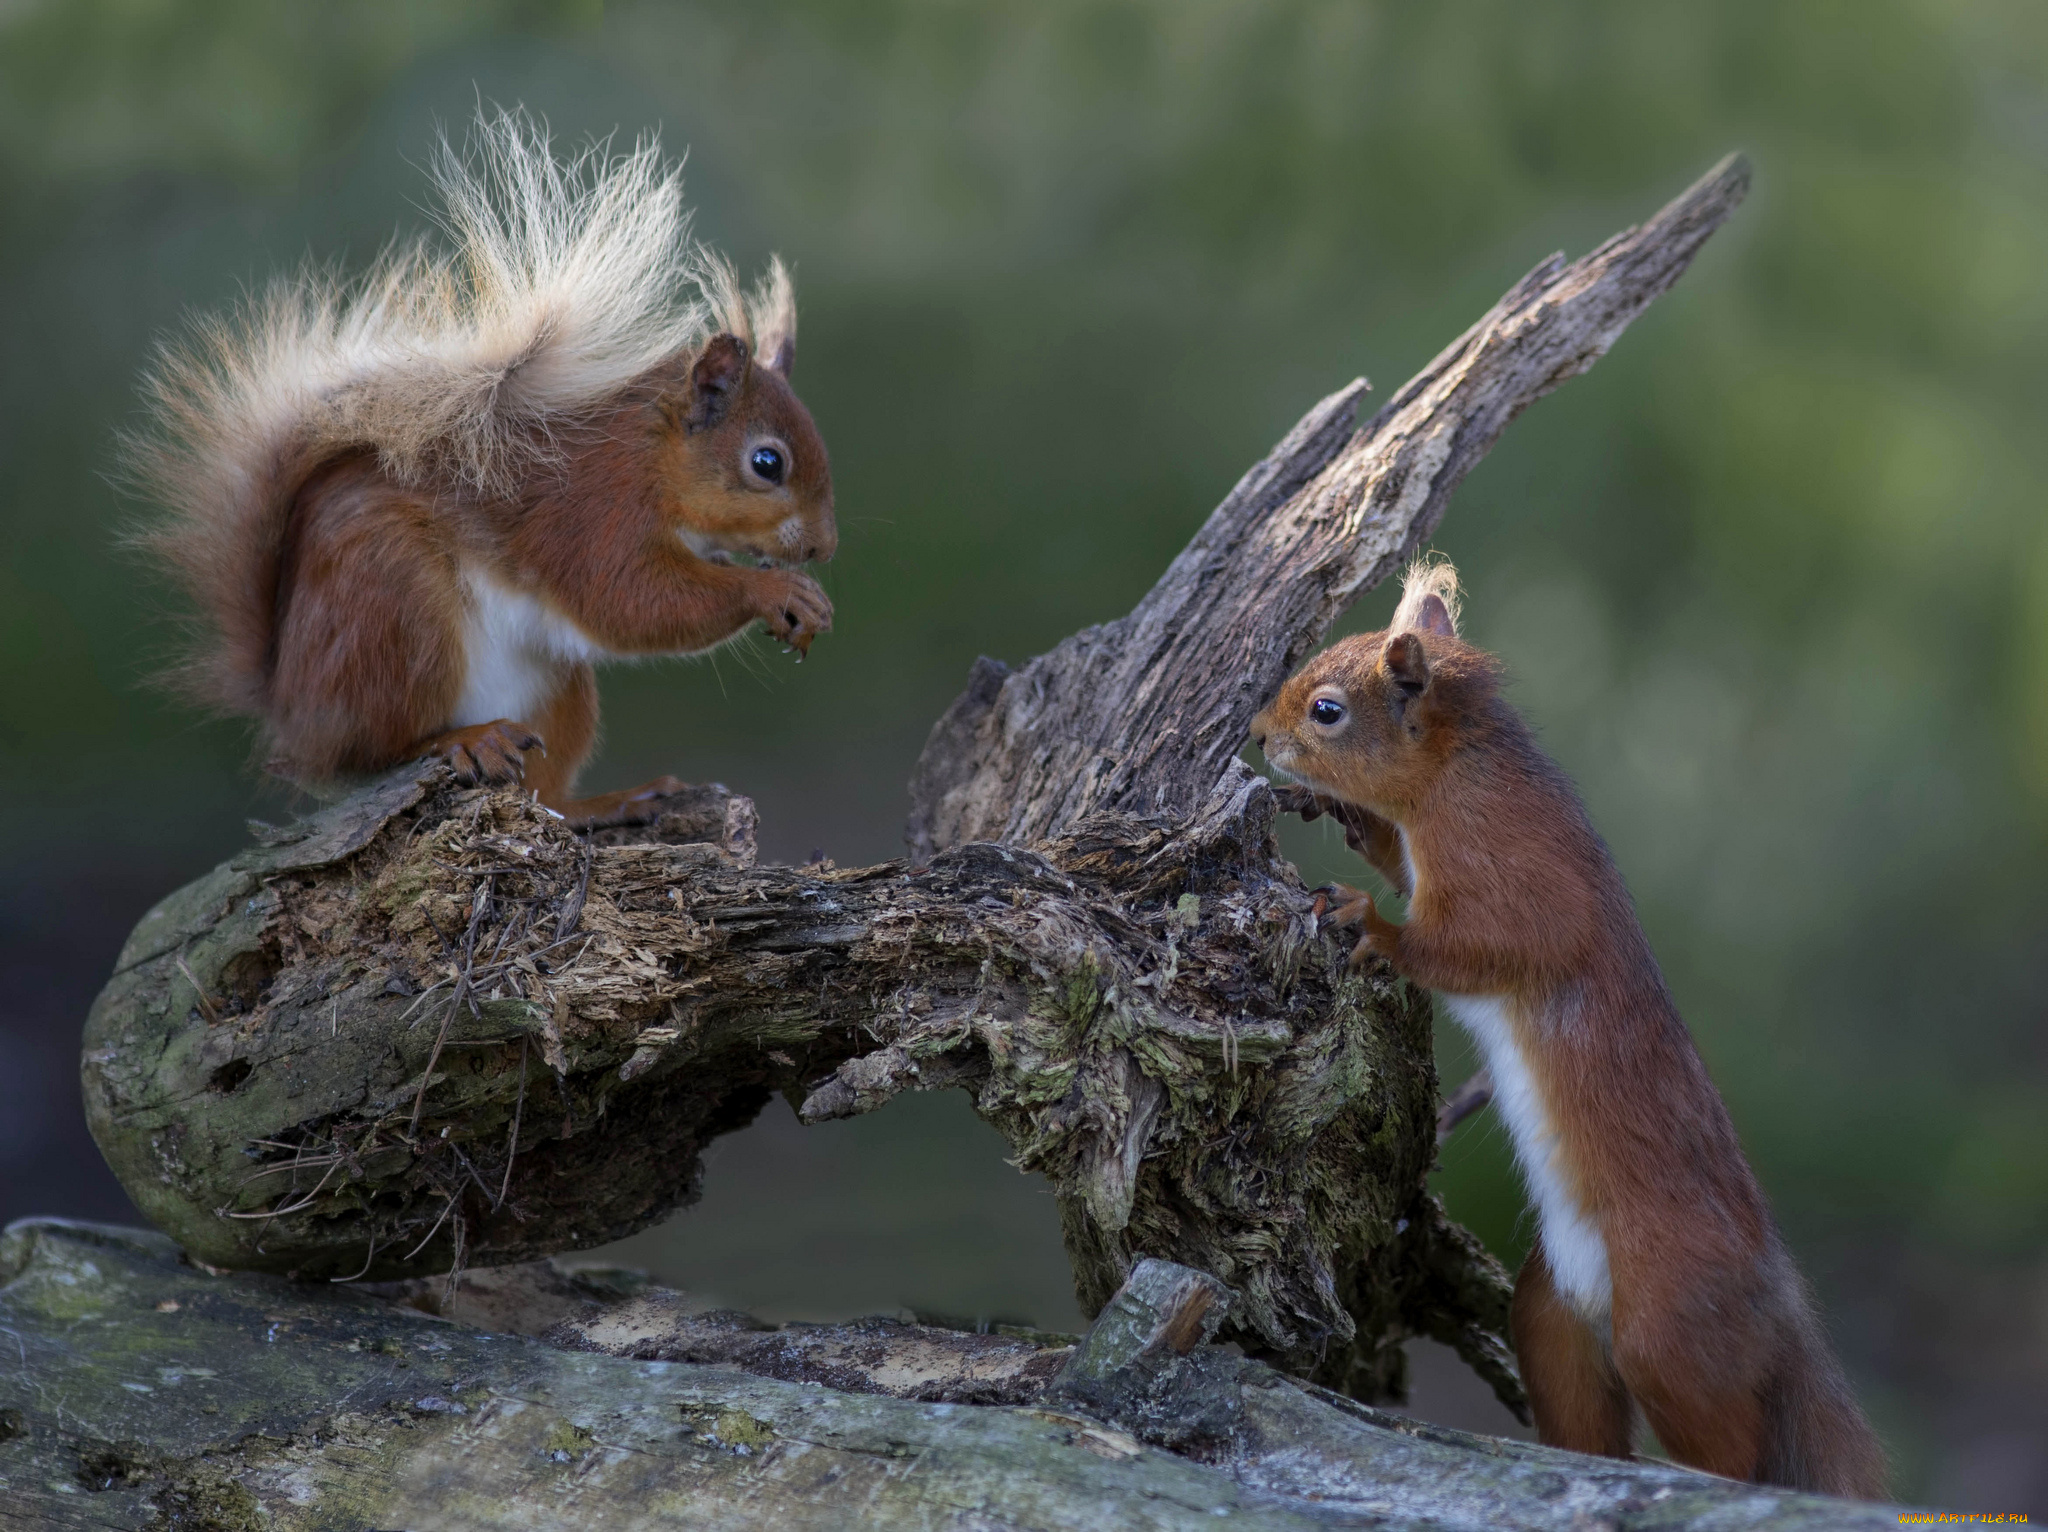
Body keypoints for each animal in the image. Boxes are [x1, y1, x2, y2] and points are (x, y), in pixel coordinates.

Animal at [128, 110, 835, 827]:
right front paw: (775, 592)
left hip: (554, 685)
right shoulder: (593, 512)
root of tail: (292, 709)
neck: (652, 459)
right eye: (767, 463)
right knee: (376, 750)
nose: (822, 548)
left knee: (544, 795)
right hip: (396, 610)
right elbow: (631, 601)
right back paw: (464, 741)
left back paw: (610, 801)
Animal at [1245, 561, 1884, 1499]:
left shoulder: (1514, 875)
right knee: (1583, 1423)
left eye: (1327, 710)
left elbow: (1481, 946)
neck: (1456, 773)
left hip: (1670, 1331)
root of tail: (1777, 1302)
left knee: (1730, 1450)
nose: (1258, 736)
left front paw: (1373, 924)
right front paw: (1351, 824)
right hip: (1550, 1321)